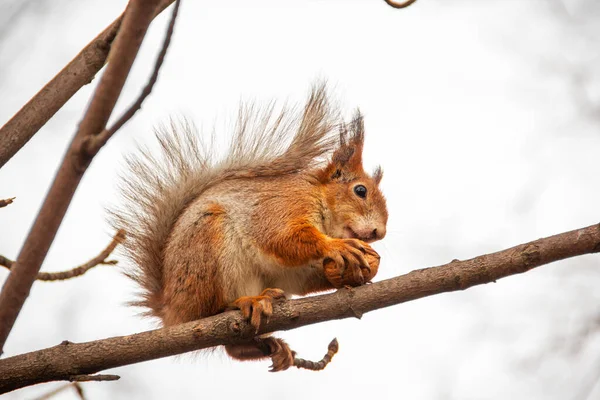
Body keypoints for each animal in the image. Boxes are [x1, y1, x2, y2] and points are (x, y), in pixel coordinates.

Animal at [109, 85, 390, 372]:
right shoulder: (283, 206)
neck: (319, 199)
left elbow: (300, 277)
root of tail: (172, 312)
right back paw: (246, 302)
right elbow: (281, 237)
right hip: (208, 249)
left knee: (233, 347)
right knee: (212, 309)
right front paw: (337, 246)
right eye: (360, 190)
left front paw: (355, 272)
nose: (380, 232)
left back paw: (266, 345)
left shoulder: (293, 271)